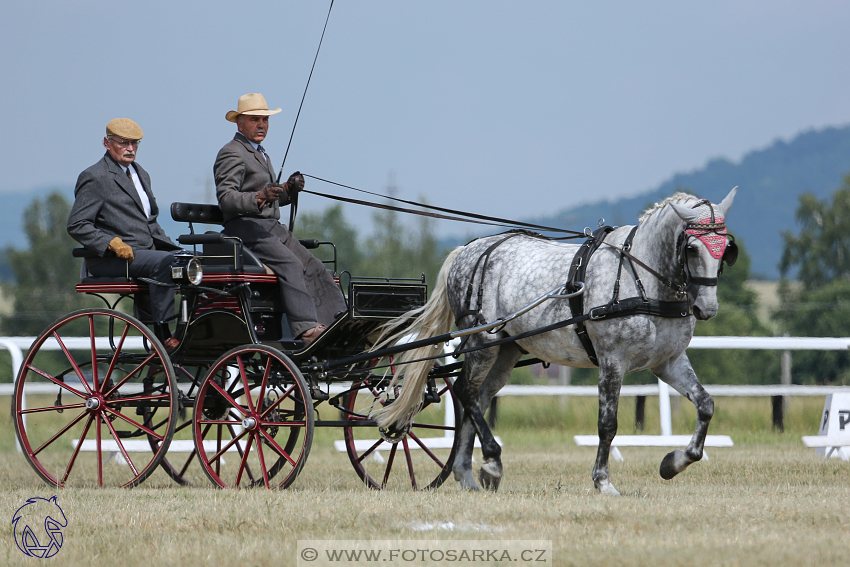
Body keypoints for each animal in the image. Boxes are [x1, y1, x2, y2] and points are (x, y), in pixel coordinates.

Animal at [372, 189, 736, 494]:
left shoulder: (668, 362)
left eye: (726, 250)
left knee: (478, 396)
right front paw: (603, 482)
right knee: (466, 392)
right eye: (692, 248)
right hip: (482, 340)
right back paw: (492, 461)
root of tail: (470, 249)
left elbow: (706, 404)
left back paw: (470, 474)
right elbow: (607, 425)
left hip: (505, 350)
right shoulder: (612, 361)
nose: (707, 308)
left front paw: (673, 463)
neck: (643, 278)